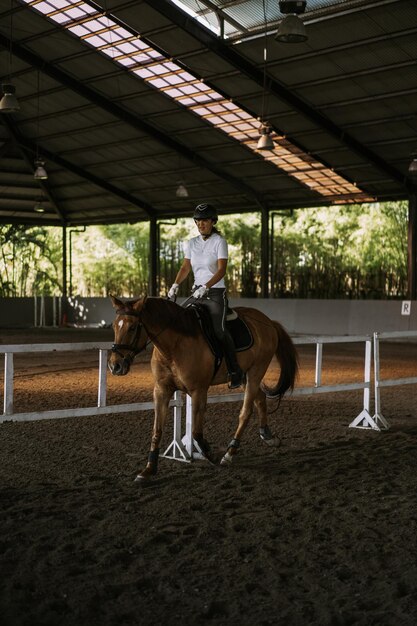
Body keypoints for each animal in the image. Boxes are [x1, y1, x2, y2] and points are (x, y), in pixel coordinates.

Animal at [107, 292, 296, 478]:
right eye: (115, 327)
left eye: (132, 327)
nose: (115, 366)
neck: (174, 345)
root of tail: (268, 322)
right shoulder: (161, 390)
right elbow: (157, 430)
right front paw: (149, 469)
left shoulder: (198, 390)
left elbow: (196, 432)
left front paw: (211, 455)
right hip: (245, 376)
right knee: (260, 399)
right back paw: (268, 437)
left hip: (256, 371)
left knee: (246, 412)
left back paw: (230, 453)